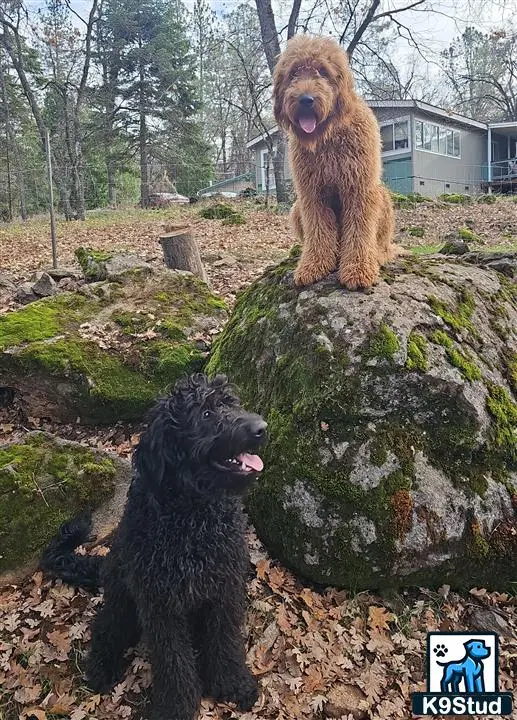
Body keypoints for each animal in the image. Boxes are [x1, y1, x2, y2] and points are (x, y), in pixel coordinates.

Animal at [40, 374, 266, 716]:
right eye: (205, 414)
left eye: (231, 402)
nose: (262, 427)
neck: (193, 519)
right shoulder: (161, 605)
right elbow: (173, 661)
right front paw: (176, 708)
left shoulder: (224, 590)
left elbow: (225, 640)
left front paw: (232, 683)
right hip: (123, 600)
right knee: (104, 628)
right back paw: (101, 668)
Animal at [272, 35, 398, 290]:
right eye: (294, 73)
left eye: (322, 71)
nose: (306, 99)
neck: (328, 137)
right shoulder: (312, 194)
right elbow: (319, 231)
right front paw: (314, 265)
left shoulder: (359, 189)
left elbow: (359, 230)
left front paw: (358, 268)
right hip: (296, 208)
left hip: (381, 197)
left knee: (381, 245)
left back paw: (378, 255)